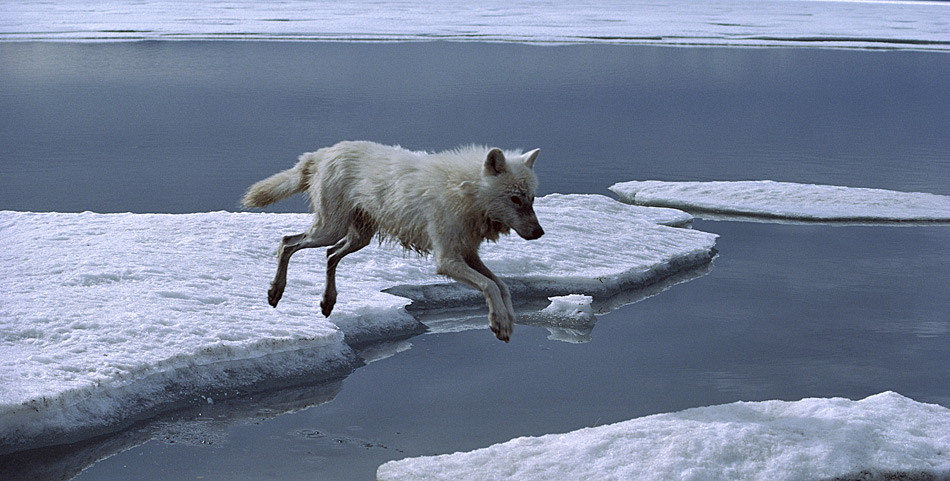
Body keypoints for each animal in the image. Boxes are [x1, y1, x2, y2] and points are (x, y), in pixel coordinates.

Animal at [242, 140, 548, 342]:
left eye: (531, 198)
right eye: (515, 199)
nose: (539, 233)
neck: (463, 191)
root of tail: (323, 152)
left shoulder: (469, 254)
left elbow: (502, 286)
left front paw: (507, 320)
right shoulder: (447, 260)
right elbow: (490, 286)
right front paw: (499, 323)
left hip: (357, 238)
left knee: (329, 254)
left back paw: (327, 302)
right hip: (330, 229)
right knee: (287, 242)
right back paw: (275, 292)